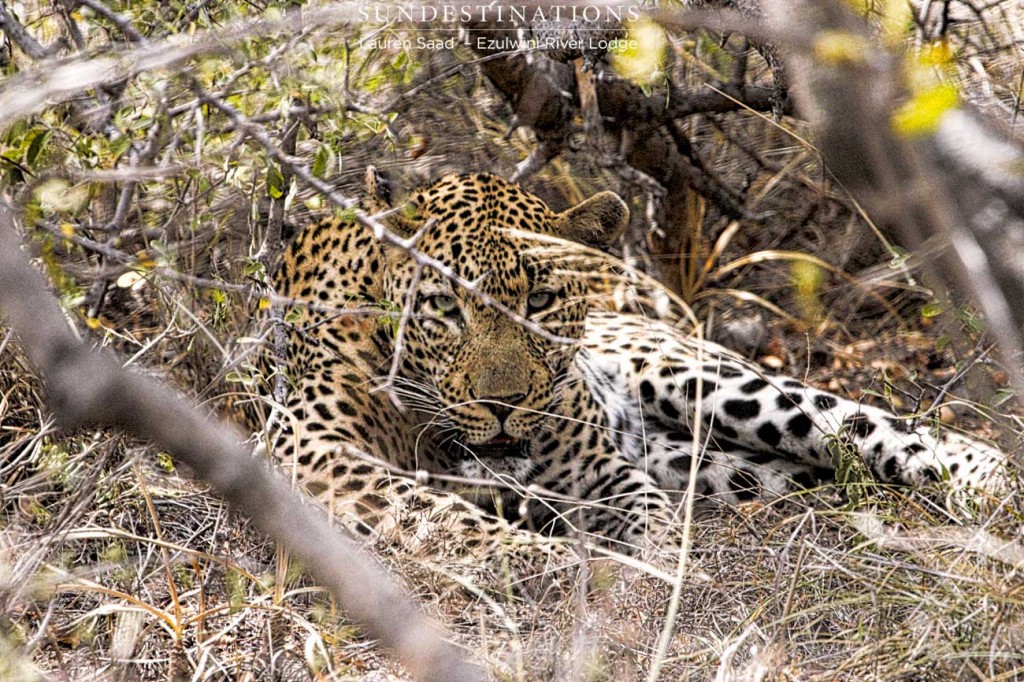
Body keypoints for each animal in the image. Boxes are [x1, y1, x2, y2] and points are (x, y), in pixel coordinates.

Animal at [264, 168, 1007, 552]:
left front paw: (648, 565)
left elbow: (643, 509)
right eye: (444, 307)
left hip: (696, 379)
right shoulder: (311, 448)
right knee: (818, 467)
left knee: (870, 426)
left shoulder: (595, 465)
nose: (502, 406)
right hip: (725, 464)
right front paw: (545, 561)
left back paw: (991, 483)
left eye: (541, 300)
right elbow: (440, 515)